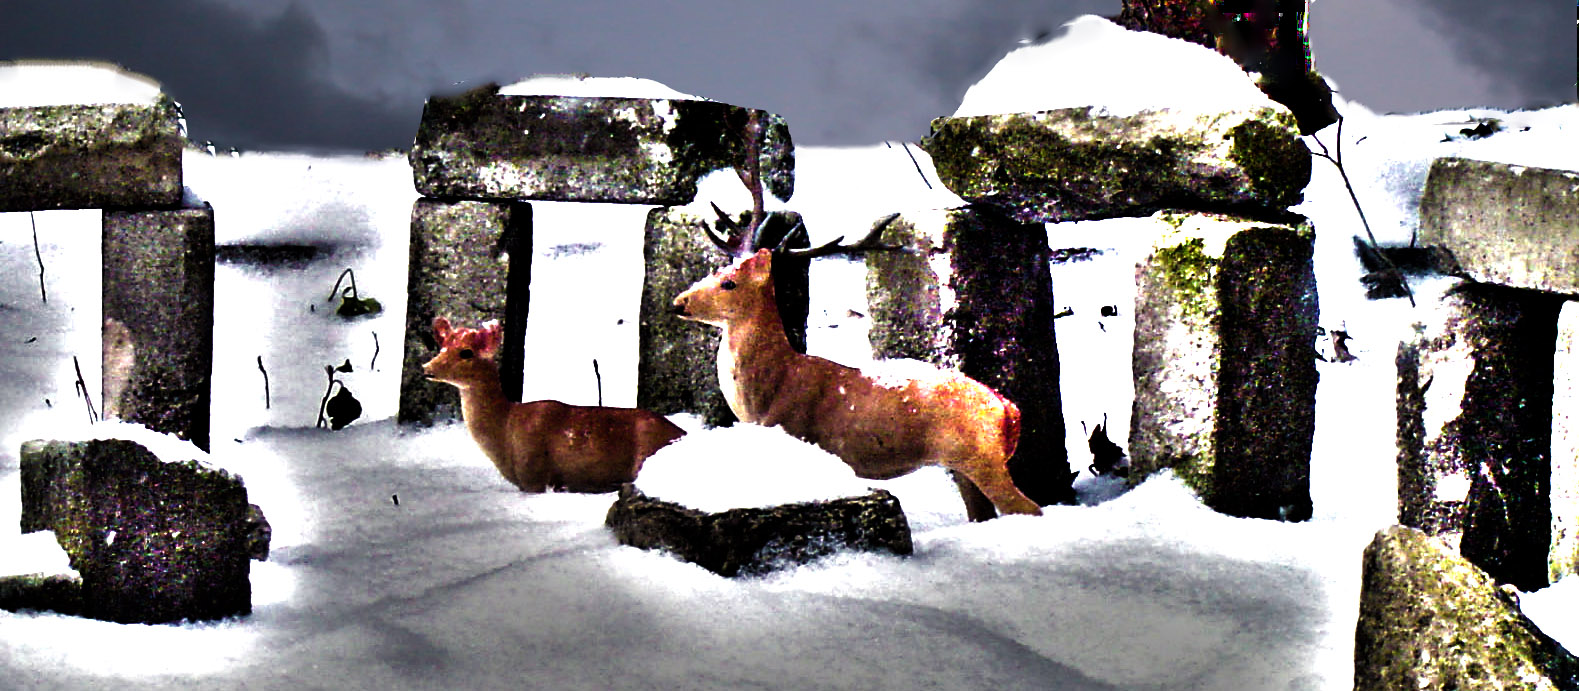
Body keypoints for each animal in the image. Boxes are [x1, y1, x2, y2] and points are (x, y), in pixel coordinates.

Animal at [421, 317, 686, 493]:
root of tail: (681, 433)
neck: (506, 428)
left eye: (466, 352)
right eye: (442, 347)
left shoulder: (534, 472)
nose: (427, 368)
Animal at [669, 205, 1043, 521]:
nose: (678, 302)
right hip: (964, 465)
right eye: (713, 272)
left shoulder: (799, 433)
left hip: (982, 456)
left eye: (729, 283)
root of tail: (1007, 409)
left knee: (1030, 508)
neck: (769, 391)